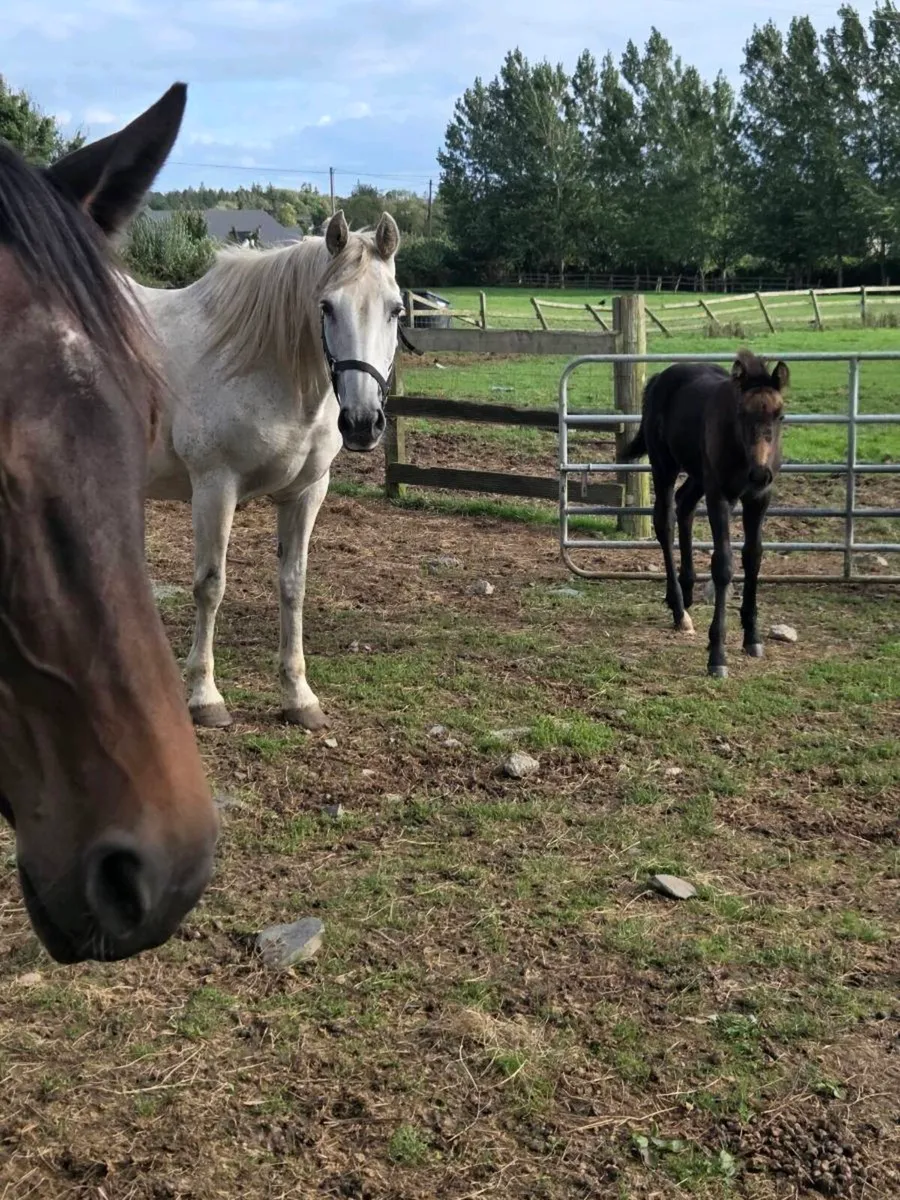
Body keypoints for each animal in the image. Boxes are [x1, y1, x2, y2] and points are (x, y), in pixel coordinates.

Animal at [128, 209, 405, 730]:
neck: (260, 362)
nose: (362, 423)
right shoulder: (214, 488)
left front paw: (298, 696)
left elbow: (293, 586)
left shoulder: (306, 493)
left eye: (396, 310)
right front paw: (204, 696)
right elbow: (210, 586)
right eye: (326, 307)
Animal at [622, 350, 788, 678]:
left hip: (698, 474)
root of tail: (659, 378)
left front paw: (752, 636)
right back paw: (678, 609)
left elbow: (754, 556)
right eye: (742, 414)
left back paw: (685, 593)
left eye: (780, 415)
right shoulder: (720, 497)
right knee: (665, 521)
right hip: (664, 465)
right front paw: (717, 655)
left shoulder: (758, 498)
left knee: (684, 505)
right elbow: (723, 564)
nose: (760, 474)